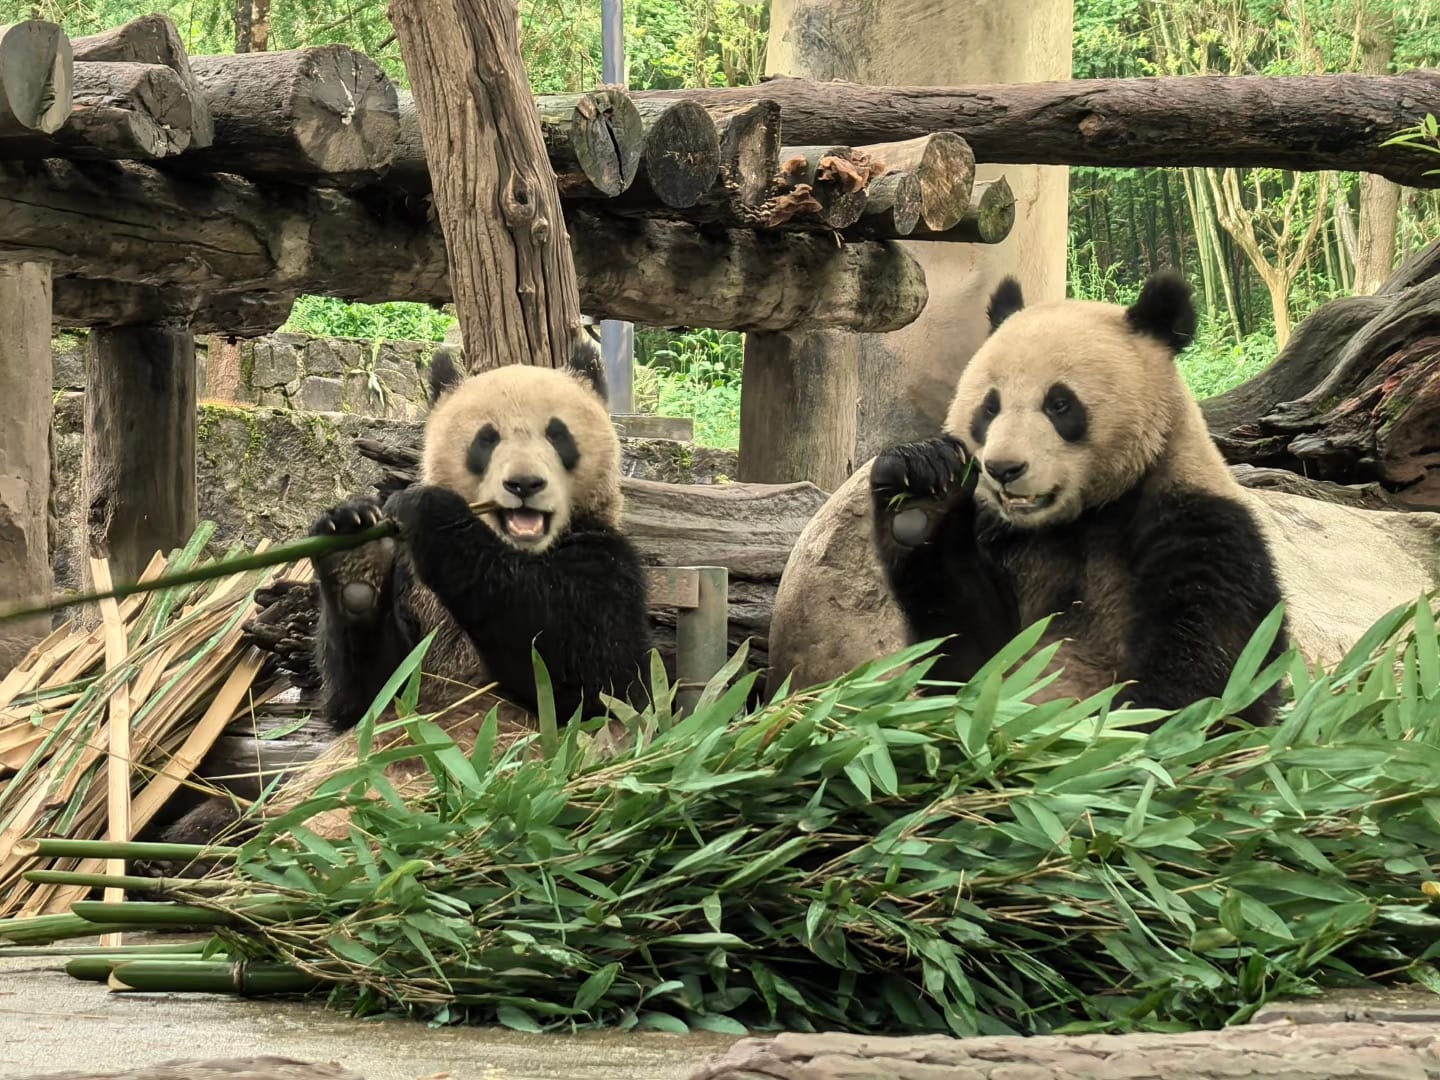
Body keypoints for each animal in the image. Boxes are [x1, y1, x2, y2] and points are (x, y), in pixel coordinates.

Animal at [869, 271, 1288, 725]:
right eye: (989, 407)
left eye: (1059, 404)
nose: (1003, 468)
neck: (1081, 516)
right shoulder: (1005, 539)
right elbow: (972, 662)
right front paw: (921, 490)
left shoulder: (1200, 523)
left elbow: (1212, 670)